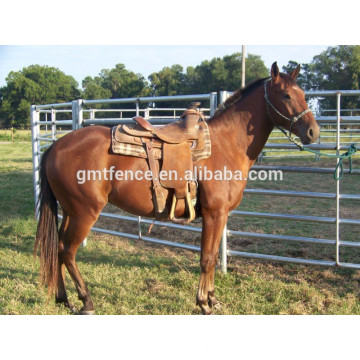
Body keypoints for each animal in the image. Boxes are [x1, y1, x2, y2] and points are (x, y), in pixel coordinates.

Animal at [34, 62, 320, 316]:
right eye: (286, 95)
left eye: (303, 94)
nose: (313, 132)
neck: (225, 144)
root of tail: (56, 147)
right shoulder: (215, 214)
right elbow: (207, 258)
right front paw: (204, 303)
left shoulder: (220, 216)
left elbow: (212, 256)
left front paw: (213, 299)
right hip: (84, 213)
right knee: (67, 252)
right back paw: (86, 301)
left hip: (70, 212)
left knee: (57, 249)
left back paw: (64, 299)